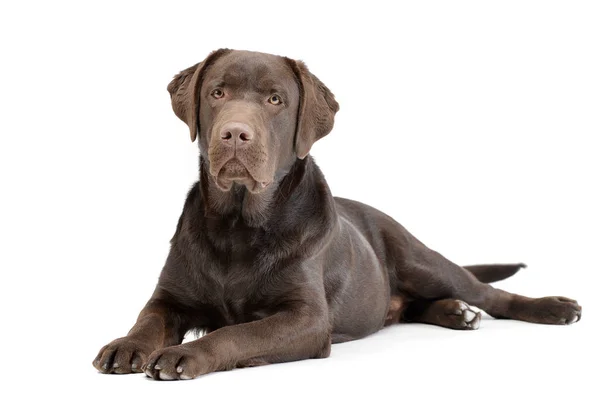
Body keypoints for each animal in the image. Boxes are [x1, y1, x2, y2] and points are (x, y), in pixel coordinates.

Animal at [92, 48, 580, 380]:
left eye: (275, 100)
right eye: (217, 93)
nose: (235, 133)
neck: (238, 225)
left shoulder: (306, 318)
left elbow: (235, 333)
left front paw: (185, 354)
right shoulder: (169, 297)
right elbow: (148, 318)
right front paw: (126, 345)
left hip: (419, 259)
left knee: (487, 293)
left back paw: (550, 308)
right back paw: (456, 313)